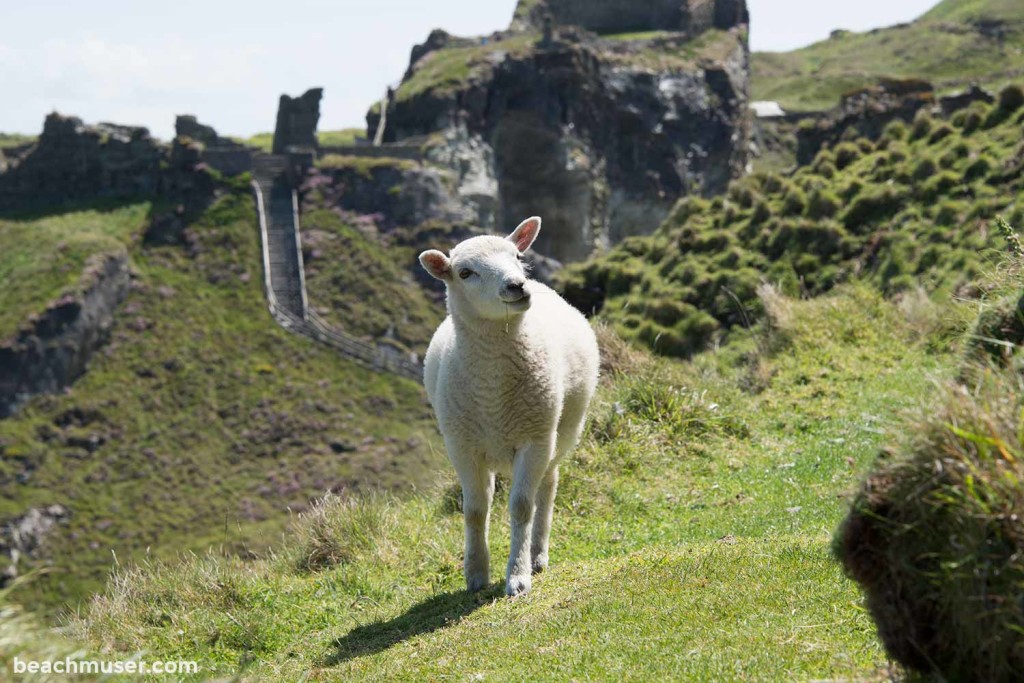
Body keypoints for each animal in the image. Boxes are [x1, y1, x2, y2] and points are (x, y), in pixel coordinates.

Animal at [419, 219, 598, 598]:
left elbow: (521, 506)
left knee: (548, 485)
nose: (517, 285)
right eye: (465, 272)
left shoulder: (535, 440)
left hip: (561, 432)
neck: (493, 393)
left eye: (517, 255)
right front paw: (475, 574)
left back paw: (537, 554)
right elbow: (474, 510)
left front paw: (517, 576)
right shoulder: (462, 447)